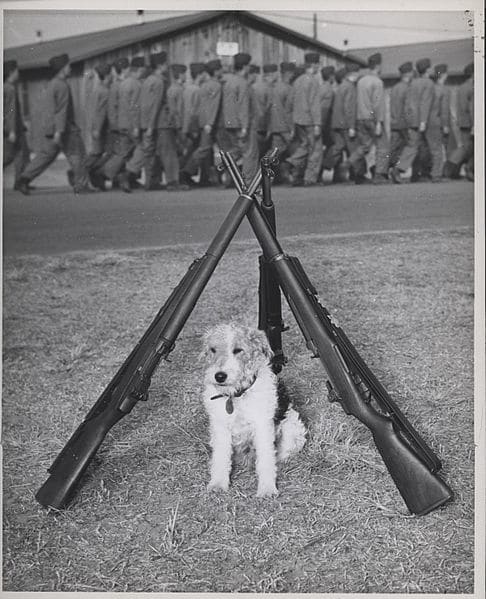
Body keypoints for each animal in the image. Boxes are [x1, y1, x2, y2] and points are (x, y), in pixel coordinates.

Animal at [199, 324, 306, 496]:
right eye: (213, 349)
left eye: (238, 350)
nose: (219, 376)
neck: (236, 395)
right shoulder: (221, 427)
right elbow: (221, 458)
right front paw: (218, 484)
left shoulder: (262, 426)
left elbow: (266, 459)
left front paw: (267, 489)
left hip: (292, 432)